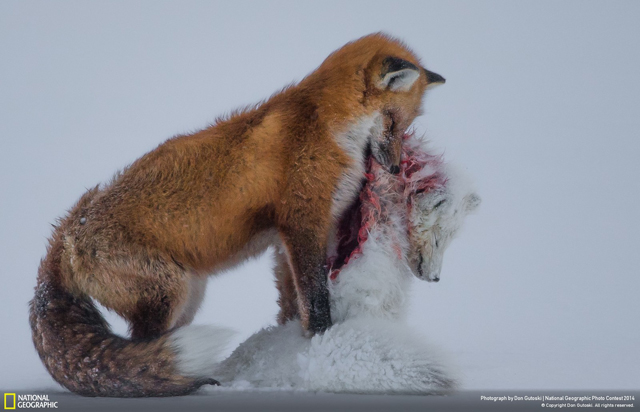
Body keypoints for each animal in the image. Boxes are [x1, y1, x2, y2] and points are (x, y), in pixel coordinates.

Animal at [28, 33, 444, 396]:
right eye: (392, 121)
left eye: (405, 126)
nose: (394, 168)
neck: (327, 125)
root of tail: (66, 235)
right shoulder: (302, 223)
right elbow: (315, 300)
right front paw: (322, 343)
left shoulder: (286, 241)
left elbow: (291, 303)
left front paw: (292, 348)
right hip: (169, 292)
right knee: (142, 355)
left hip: (188, 298)